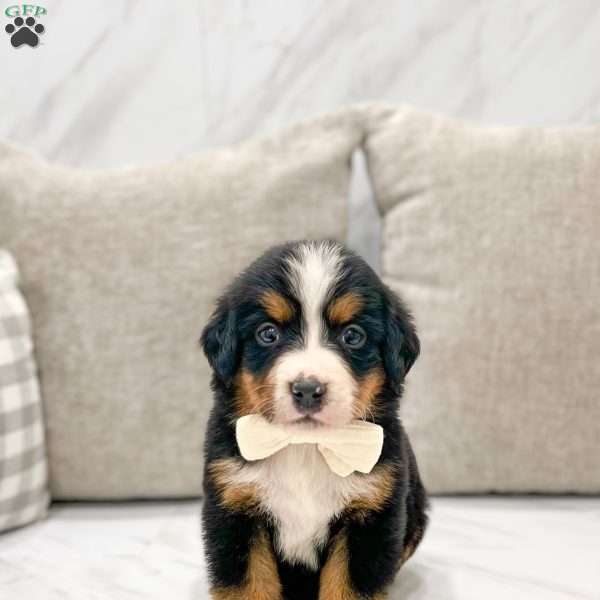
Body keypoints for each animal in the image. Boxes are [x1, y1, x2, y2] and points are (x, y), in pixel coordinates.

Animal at [200, 241, 426, 596]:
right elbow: (248, 587)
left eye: (353, 336)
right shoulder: (235, 510)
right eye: (268, 334)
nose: (307, 390)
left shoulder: (370, 515)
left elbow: (348, 589)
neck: (304, 447)